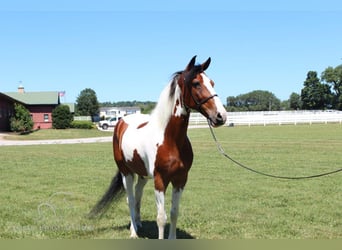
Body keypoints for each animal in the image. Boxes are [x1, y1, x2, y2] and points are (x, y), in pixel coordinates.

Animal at [89, 55, 227, 239]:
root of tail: (122, 122)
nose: (221, 116)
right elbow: (161, 217)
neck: (170, 139)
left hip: (142, 174)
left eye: (212, 82)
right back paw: (133, 232)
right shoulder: (160, 180)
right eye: (196, 83)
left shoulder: (180, 180)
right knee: (130, 199)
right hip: (127, 173)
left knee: (138, 195)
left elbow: (174, 212)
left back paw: (138, 224)